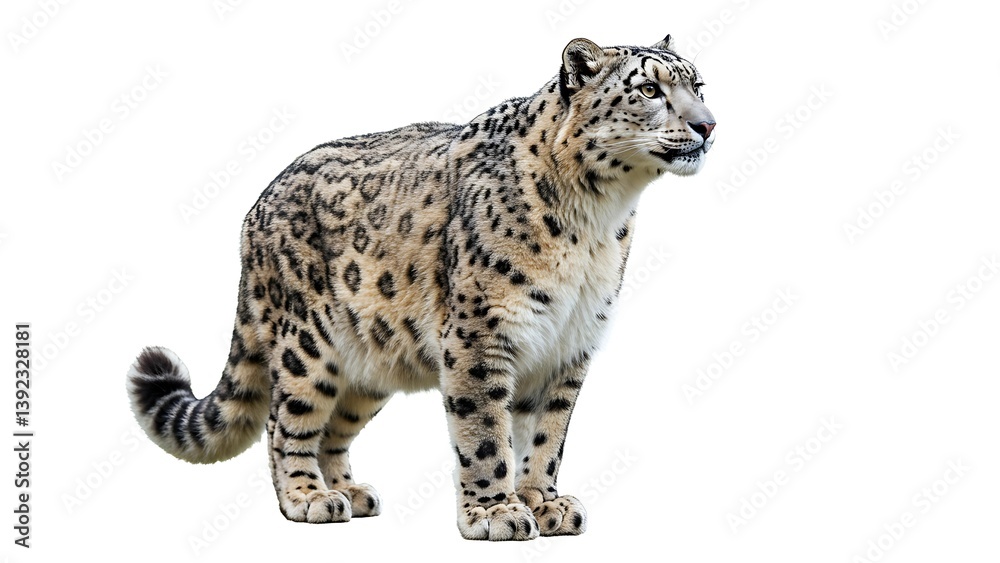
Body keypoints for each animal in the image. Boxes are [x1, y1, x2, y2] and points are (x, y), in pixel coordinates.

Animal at [126, 35, 715, 541]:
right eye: (650, 90)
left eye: (700, 86)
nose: (708, 125)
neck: (596, 221)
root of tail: (257, 207)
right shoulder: (482, 334)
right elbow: (485, 432)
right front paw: (496, 513)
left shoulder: (569, 344)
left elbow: (547, 434)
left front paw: (543, 502)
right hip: (307, 345)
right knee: (285, 422)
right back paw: (308, 497)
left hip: (369, 365)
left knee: (334, 428)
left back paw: (350, 492)